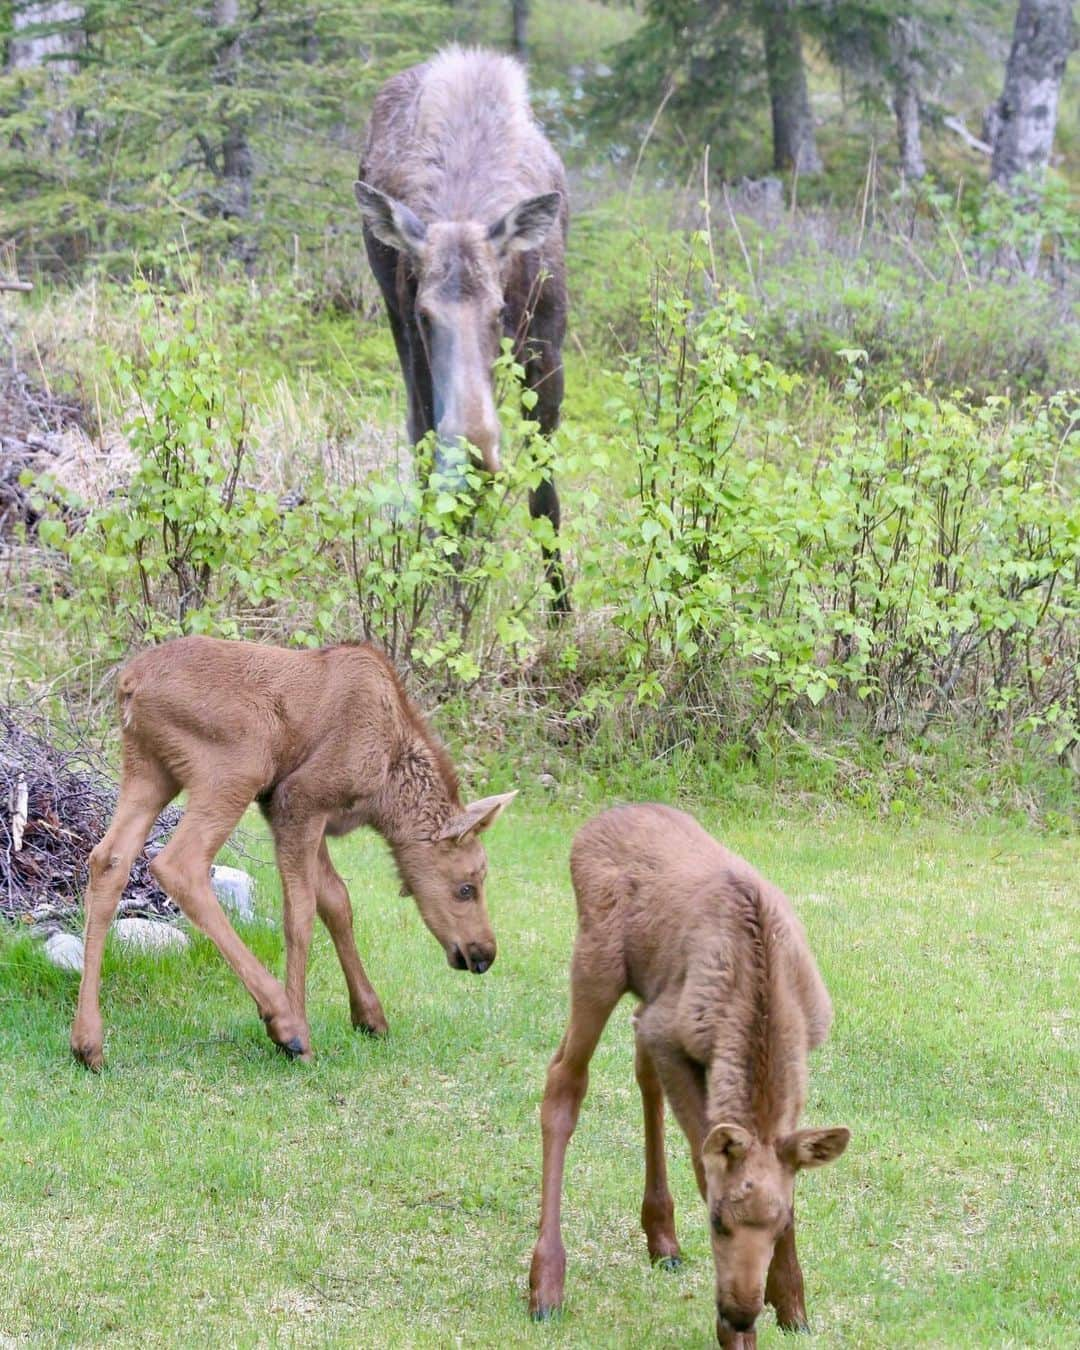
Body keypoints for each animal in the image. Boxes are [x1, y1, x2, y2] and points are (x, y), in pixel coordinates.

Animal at [69, 637, 515, 1069]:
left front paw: (369, 1015)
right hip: (238, 765)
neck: (386, 793)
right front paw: (299, 1025)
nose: (484, 953)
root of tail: (130, 685)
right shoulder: (296, 800)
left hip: (148, 769)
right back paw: (284, 1022)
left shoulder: (305, 814)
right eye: (466, 887)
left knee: (108, 860)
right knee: (180, 865)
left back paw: (88, 1043)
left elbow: (337, 902)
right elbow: (300, 915)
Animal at [356, 43, 572, 612]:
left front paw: (561, 611)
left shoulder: (546, 342)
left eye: (499, 311)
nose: (476, 456)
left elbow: (545, 498)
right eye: (426, 314)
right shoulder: (411, 334)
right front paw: (448, 599)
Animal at [531, 804, 853, 1344]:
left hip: (646, 993)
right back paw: (546, 1283)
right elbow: (704, 1165)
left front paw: (792, 1304)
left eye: (779, 1225)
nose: (742, 1311)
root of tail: (591, 826)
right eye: (718, 1220)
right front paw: (736, 1335)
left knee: (641, 1071)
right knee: (564, 1081)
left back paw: (662, 1238)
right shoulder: (670, 1032)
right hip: (597, 965)